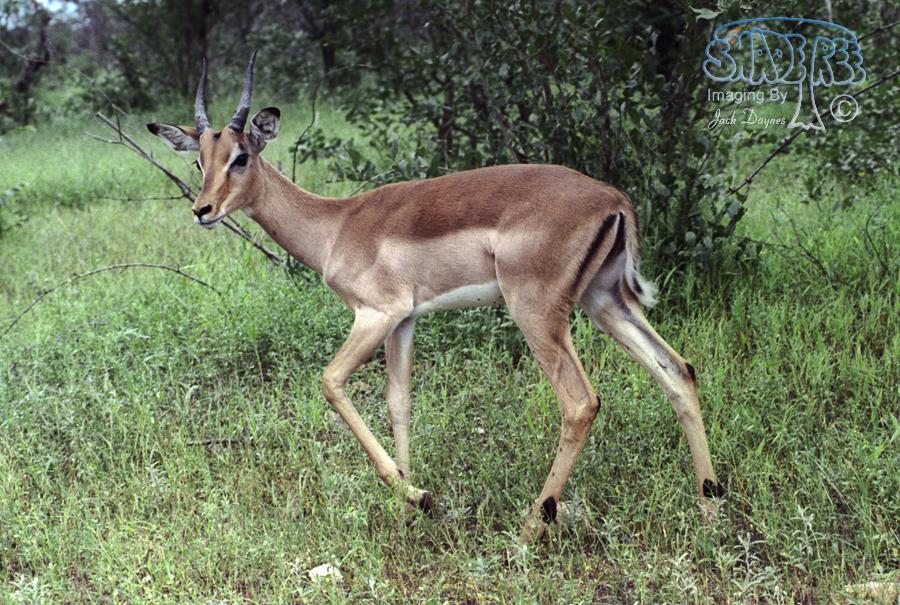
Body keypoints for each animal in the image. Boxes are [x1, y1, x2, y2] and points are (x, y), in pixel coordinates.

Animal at [147, 52, 723, 543]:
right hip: (604, 302)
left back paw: (529, 529)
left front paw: (419, 496)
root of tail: (615, 199)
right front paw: (410, 508)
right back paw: (709, 507)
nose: (202, 210)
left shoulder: (375, 315)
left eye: (241, 157)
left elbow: (331, 383)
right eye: (200, 160)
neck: (336, 225)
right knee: (677, 370)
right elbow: (398, 403)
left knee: (581, 403)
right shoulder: (405, 320)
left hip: (537, 313)